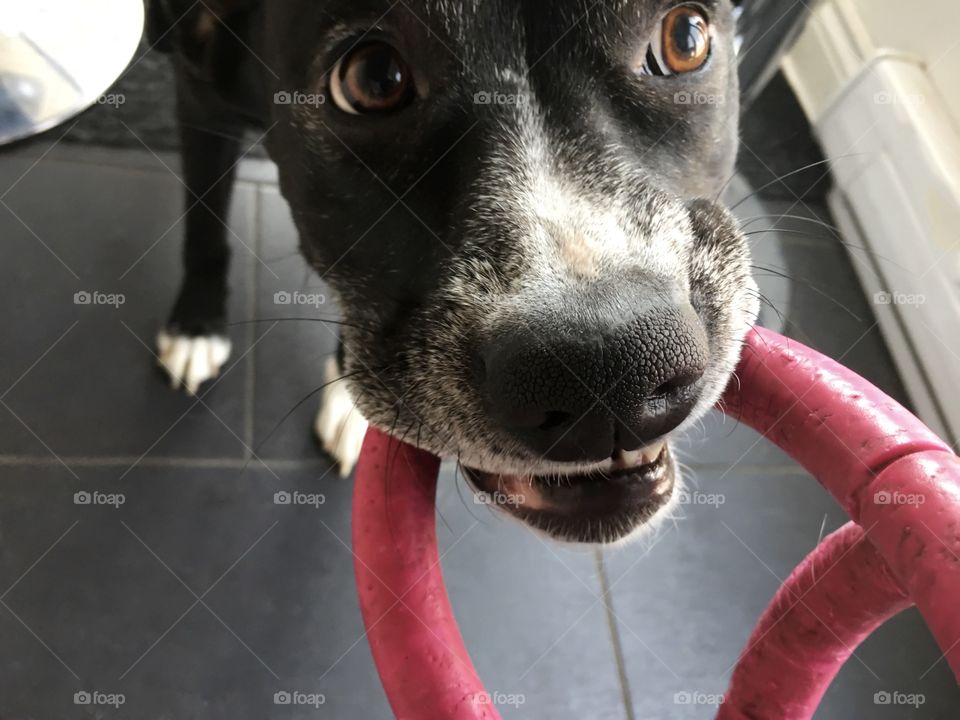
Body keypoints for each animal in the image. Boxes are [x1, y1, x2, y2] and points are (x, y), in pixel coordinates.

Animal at [146, 0, 756, 540]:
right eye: (374, 78)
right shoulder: (197, 103)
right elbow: (204, 221)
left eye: (684, 39)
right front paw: (196, 325)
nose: (611, 373)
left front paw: (345, 402)